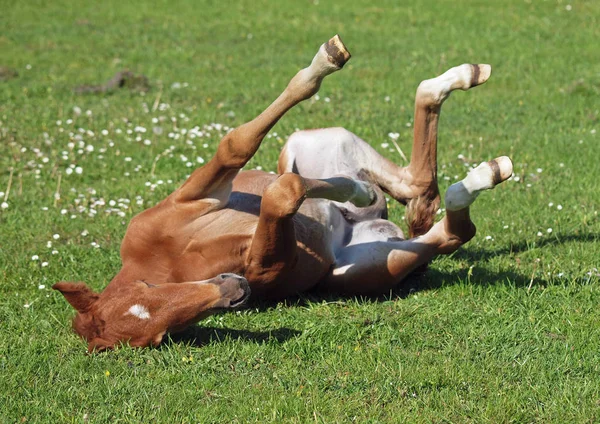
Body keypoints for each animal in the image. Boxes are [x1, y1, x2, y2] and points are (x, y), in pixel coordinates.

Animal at [54, 35, 510, 352]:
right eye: (162, 335)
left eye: (147, 290)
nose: (234, 291)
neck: (169, 261)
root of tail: (377, 227)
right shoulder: (266, 265)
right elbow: (284, 194)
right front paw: (355, 191)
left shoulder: (190, 198)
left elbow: (239, 145)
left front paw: (356, 189)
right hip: (369, 268)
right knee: (444, 221)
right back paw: (482, 172)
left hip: (307, 141)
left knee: (414, 184)